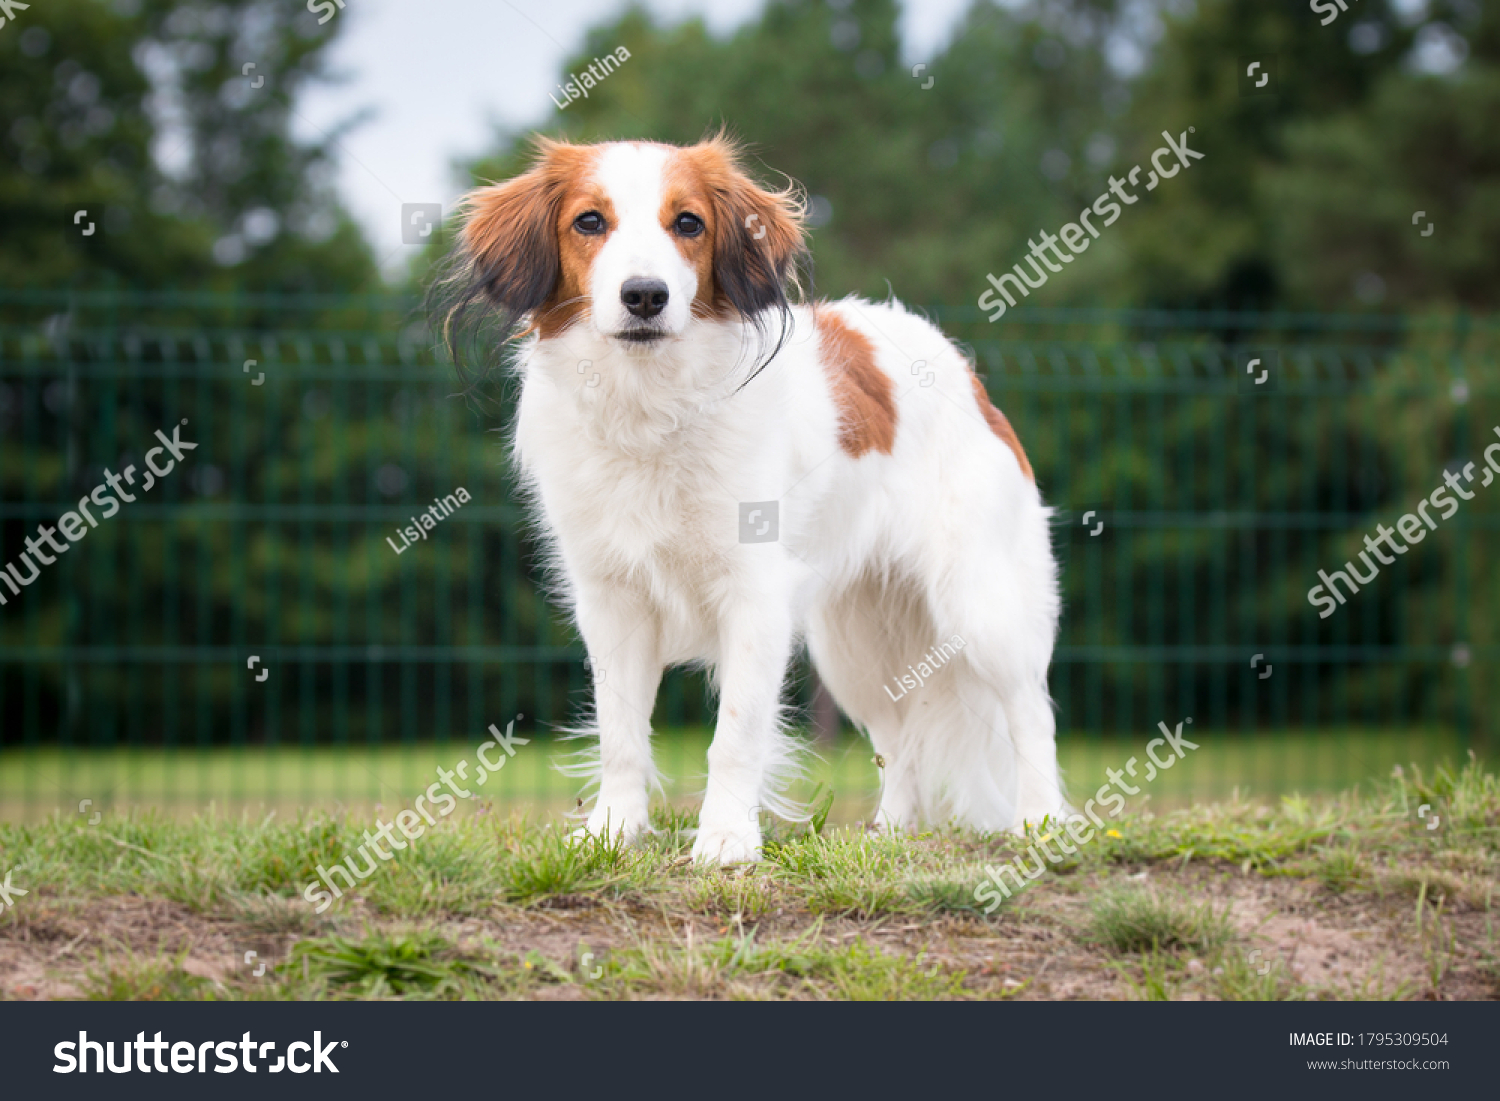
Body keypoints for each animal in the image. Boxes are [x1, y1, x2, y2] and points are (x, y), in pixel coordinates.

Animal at [435, 135, 1068, 864]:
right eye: (589, 222)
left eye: (689, 223)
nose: (645, 295)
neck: (652, 405)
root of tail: (966, 371)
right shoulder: (613, 602)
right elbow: (621, 732)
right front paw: (614, 830)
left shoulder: (755, 597)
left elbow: (735, 736)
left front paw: (727, 838)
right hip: (854, 645)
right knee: (899, 738)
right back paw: (890, 834)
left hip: (981, 606)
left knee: (1030, 712)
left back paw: (1041, 821)